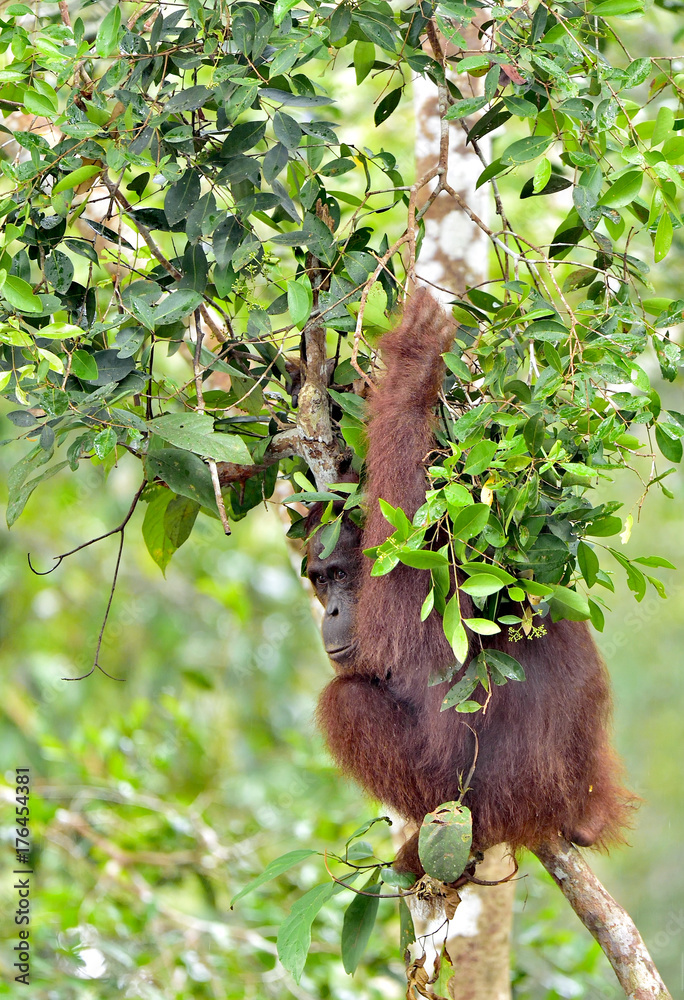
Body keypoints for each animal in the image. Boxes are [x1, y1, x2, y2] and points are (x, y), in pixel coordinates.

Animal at [307, 288, 632, 874]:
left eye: (341, 575)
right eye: (321, 581)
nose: (333, 610)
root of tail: (564, 804)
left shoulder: (430, 579)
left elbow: (400, 562)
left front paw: (414, 363)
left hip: (474, 801)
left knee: (347, 704)